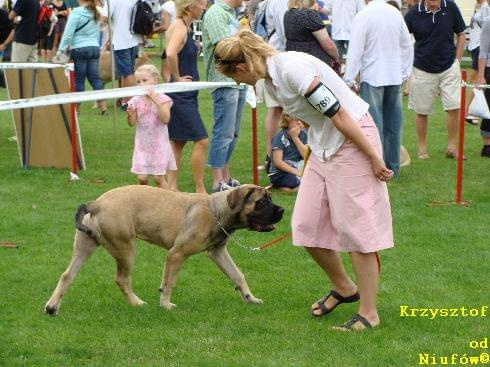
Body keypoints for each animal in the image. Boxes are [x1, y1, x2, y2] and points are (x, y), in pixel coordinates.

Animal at [46, 185, 286, 314]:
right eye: (261, 202)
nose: (282, 210)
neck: (218, 211)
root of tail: (97, 204)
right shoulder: (177, 254)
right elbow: (170, 281)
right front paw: (166, 304)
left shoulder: (217, 252)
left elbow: (237, 275)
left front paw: (249, 298)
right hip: (125, 247)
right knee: (122, 279)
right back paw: (136, 303)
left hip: (84, 246)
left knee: (67, 276)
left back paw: (52, 307)